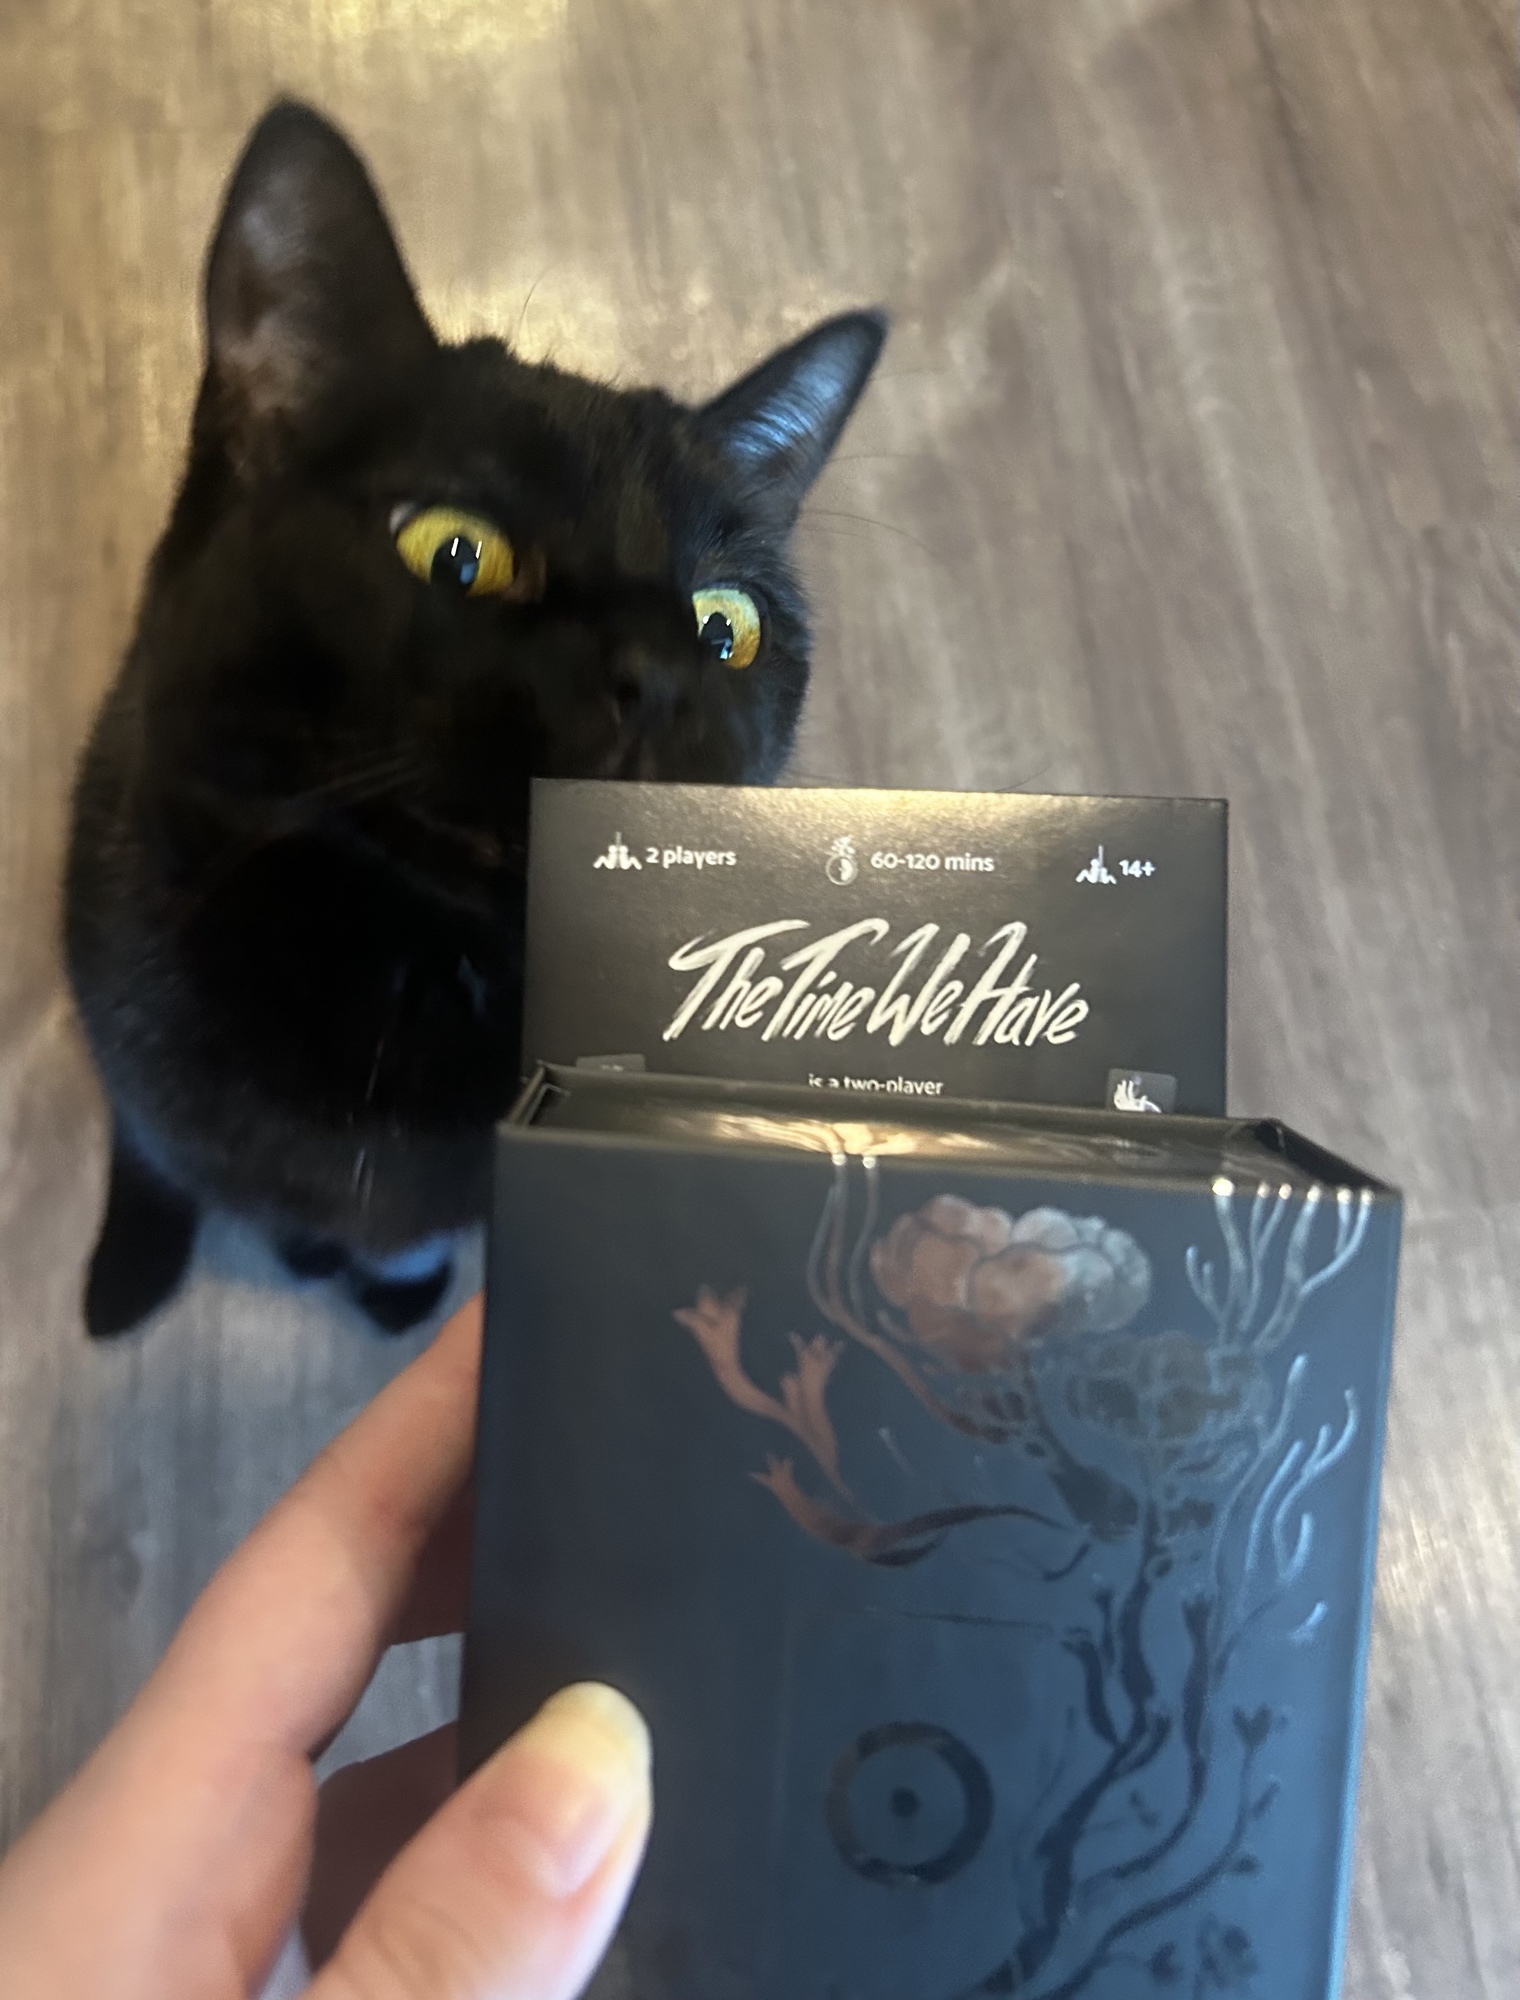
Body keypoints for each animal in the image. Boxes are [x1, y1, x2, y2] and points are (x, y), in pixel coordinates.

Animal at [64, 101, 885, 1337]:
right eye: (455, 553)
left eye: (724, 626)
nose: (658, 673)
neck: (407, 983)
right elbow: (154, 1155)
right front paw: (136, 1270)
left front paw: (400, 1291)